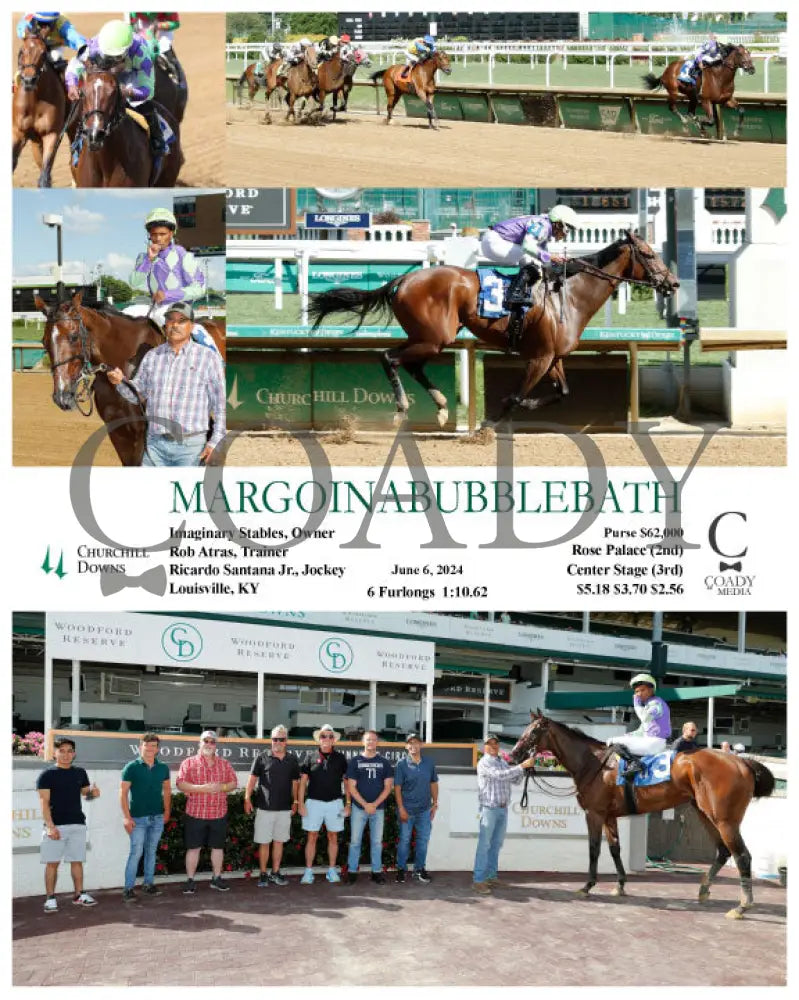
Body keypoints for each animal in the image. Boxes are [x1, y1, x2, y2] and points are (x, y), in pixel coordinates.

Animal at [11, 32, 69, 188]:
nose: (29, 80)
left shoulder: (51, 134)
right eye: (21, 51)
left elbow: (44, 176)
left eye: (43, 53)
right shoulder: (18, 132)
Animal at [310, 231, 680, 426]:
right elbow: (515, 396)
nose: (673, 283)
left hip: (428, 338)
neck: (569, 295)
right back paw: (402, 409)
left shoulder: (553, 357)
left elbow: (562, 393)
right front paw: (489, 426)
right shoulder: (538, 357)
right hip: (434, 337)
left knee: (410, 364)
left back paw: (441, 406)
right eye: (648, 254)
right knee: (389, 358)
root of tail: (404, 279)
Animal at [512, 712, 776, 920]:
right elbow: (615, 849)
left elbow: (594, 849)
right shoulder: (609, 816)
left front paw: (587, 886)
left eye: (533, 732)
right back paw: (703, 890)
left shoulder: (594, 814)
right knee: (722, 851)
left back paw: (742, 906)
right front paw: (619, 885)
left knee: (742, 856)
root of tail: (742, 762)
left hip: (724, 820)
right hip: (705, 813)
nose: (515, 754)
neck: (595, 763)